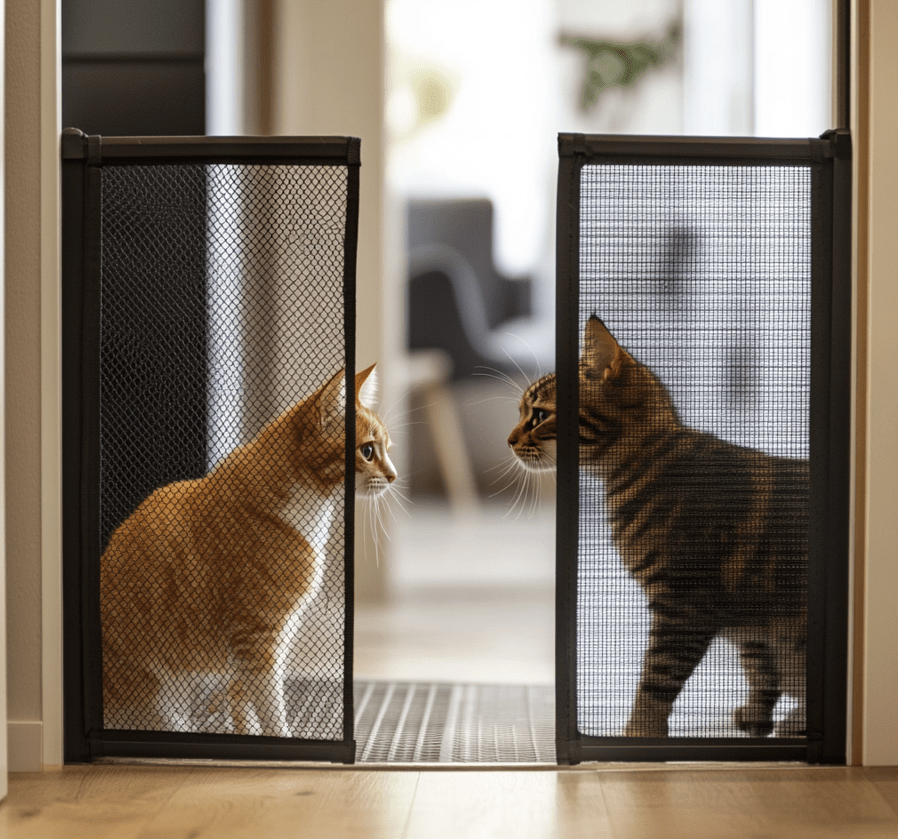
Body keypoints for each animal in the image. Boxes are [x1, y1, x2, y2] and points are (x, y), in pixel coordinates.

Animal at [100, 364, 394, 740]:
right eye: (368, 452)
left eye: (387, 448)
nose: (394, 475)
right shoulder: (256, 637)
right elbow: (271, 711)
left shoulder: (263, 644)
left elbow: (245, 707)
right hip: (159, 705)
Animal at [508, 318, 808, 740]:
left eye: (537, 415)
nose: (509, 440)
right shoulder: (747, 620)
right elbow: (760, 668)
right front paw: (757, 712)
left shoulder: (683, 605)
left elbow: (657, 677)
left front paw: (640, 730)